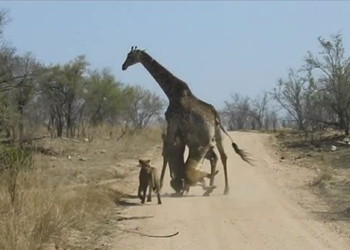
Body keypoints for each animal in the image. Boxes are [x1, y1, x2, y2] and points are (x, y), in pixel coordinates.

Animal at [121, 46, 253, 195]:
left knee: (213, 156)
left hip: (205, 137)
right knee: (223, 156)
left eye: (130, 56)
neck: (171, 92)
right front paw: (180, 185)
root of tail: (215, 116)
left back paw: (207, 187)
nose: (123, 66)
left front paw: (162, 185)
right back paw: (222, 188)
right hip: (218, 134)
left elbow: (167, 152)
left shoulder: (172, 123)